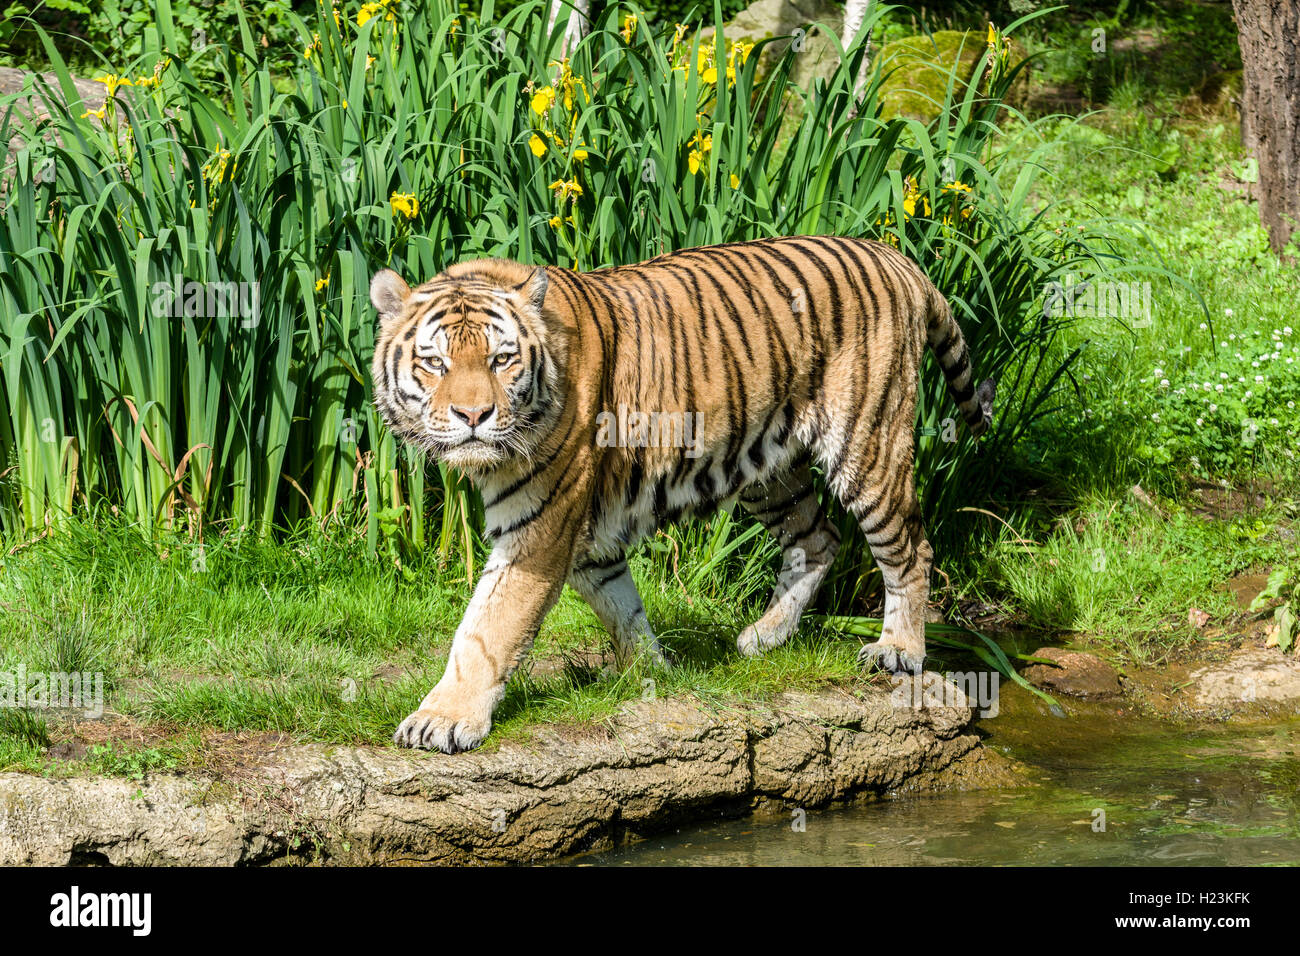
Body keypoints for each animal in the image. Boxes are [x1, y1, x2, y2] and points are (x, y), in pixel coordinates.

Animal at [369, 234, 993, 754]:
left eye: (502, 360)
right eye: (434, 362)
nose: (473, 415)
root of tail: (893, 255)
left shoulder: (538, 534)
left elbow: (485, 630)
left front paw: (442, 720)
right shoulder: (587, 537)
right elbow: (621, 604)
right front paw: (652, 671)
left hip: (868, 443)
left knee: (910, 548)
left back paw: (899, 650)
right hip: (768, 468)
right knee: (818, 537)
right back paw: (762, 638)